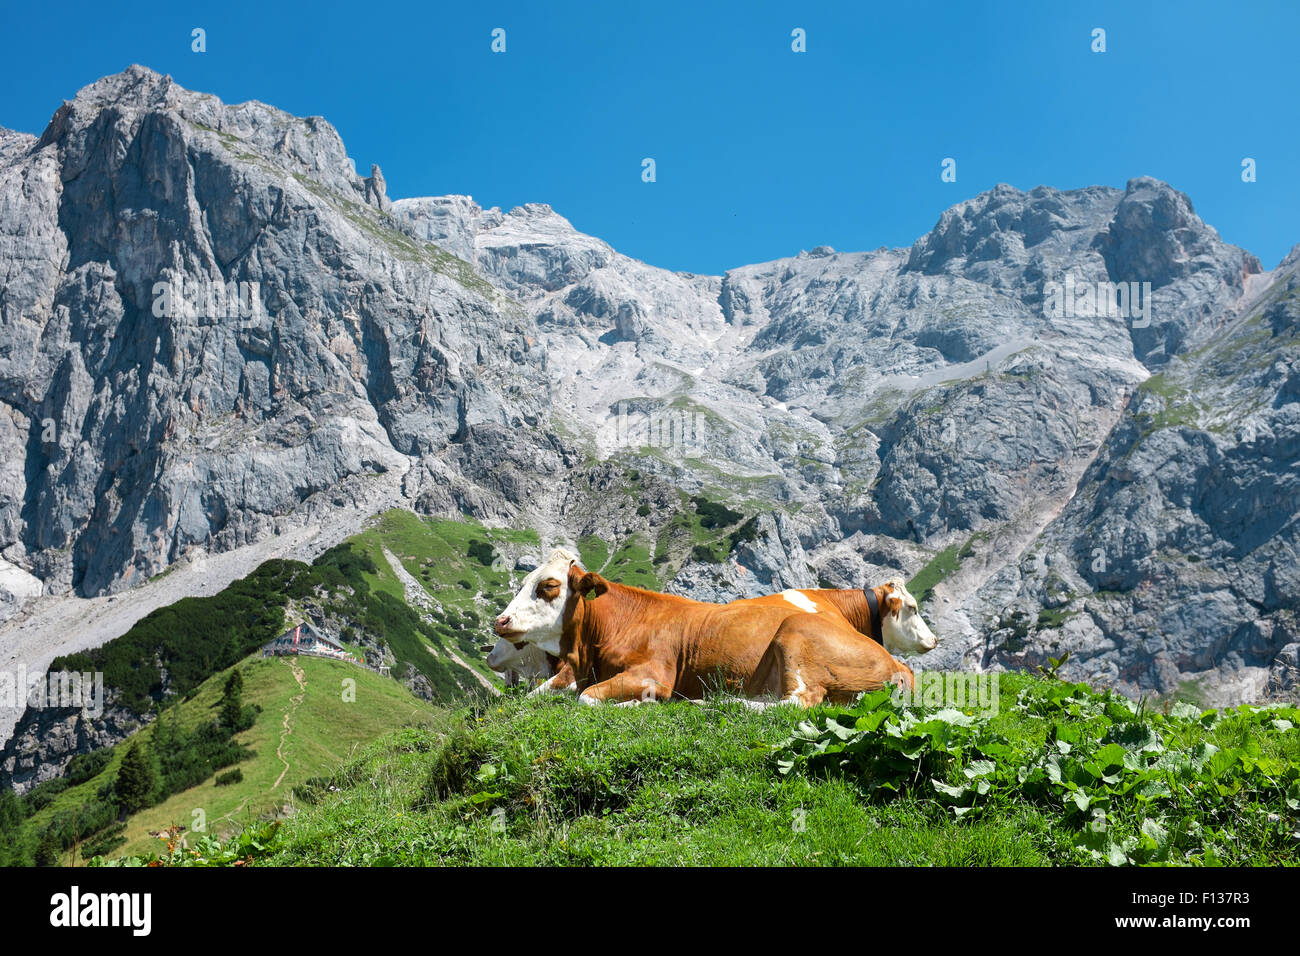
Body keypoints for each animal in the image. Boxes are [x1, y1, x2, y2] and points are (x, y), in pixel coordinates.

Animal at [488, 548, 935, 707]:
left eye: (548, 586)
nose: (500, 621)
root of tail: (899, 665)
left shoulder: (653, 675)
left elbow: (587, 699)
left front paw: (641, 704)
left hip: (794, 637)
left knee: (796, 703)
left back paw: (714, 703)